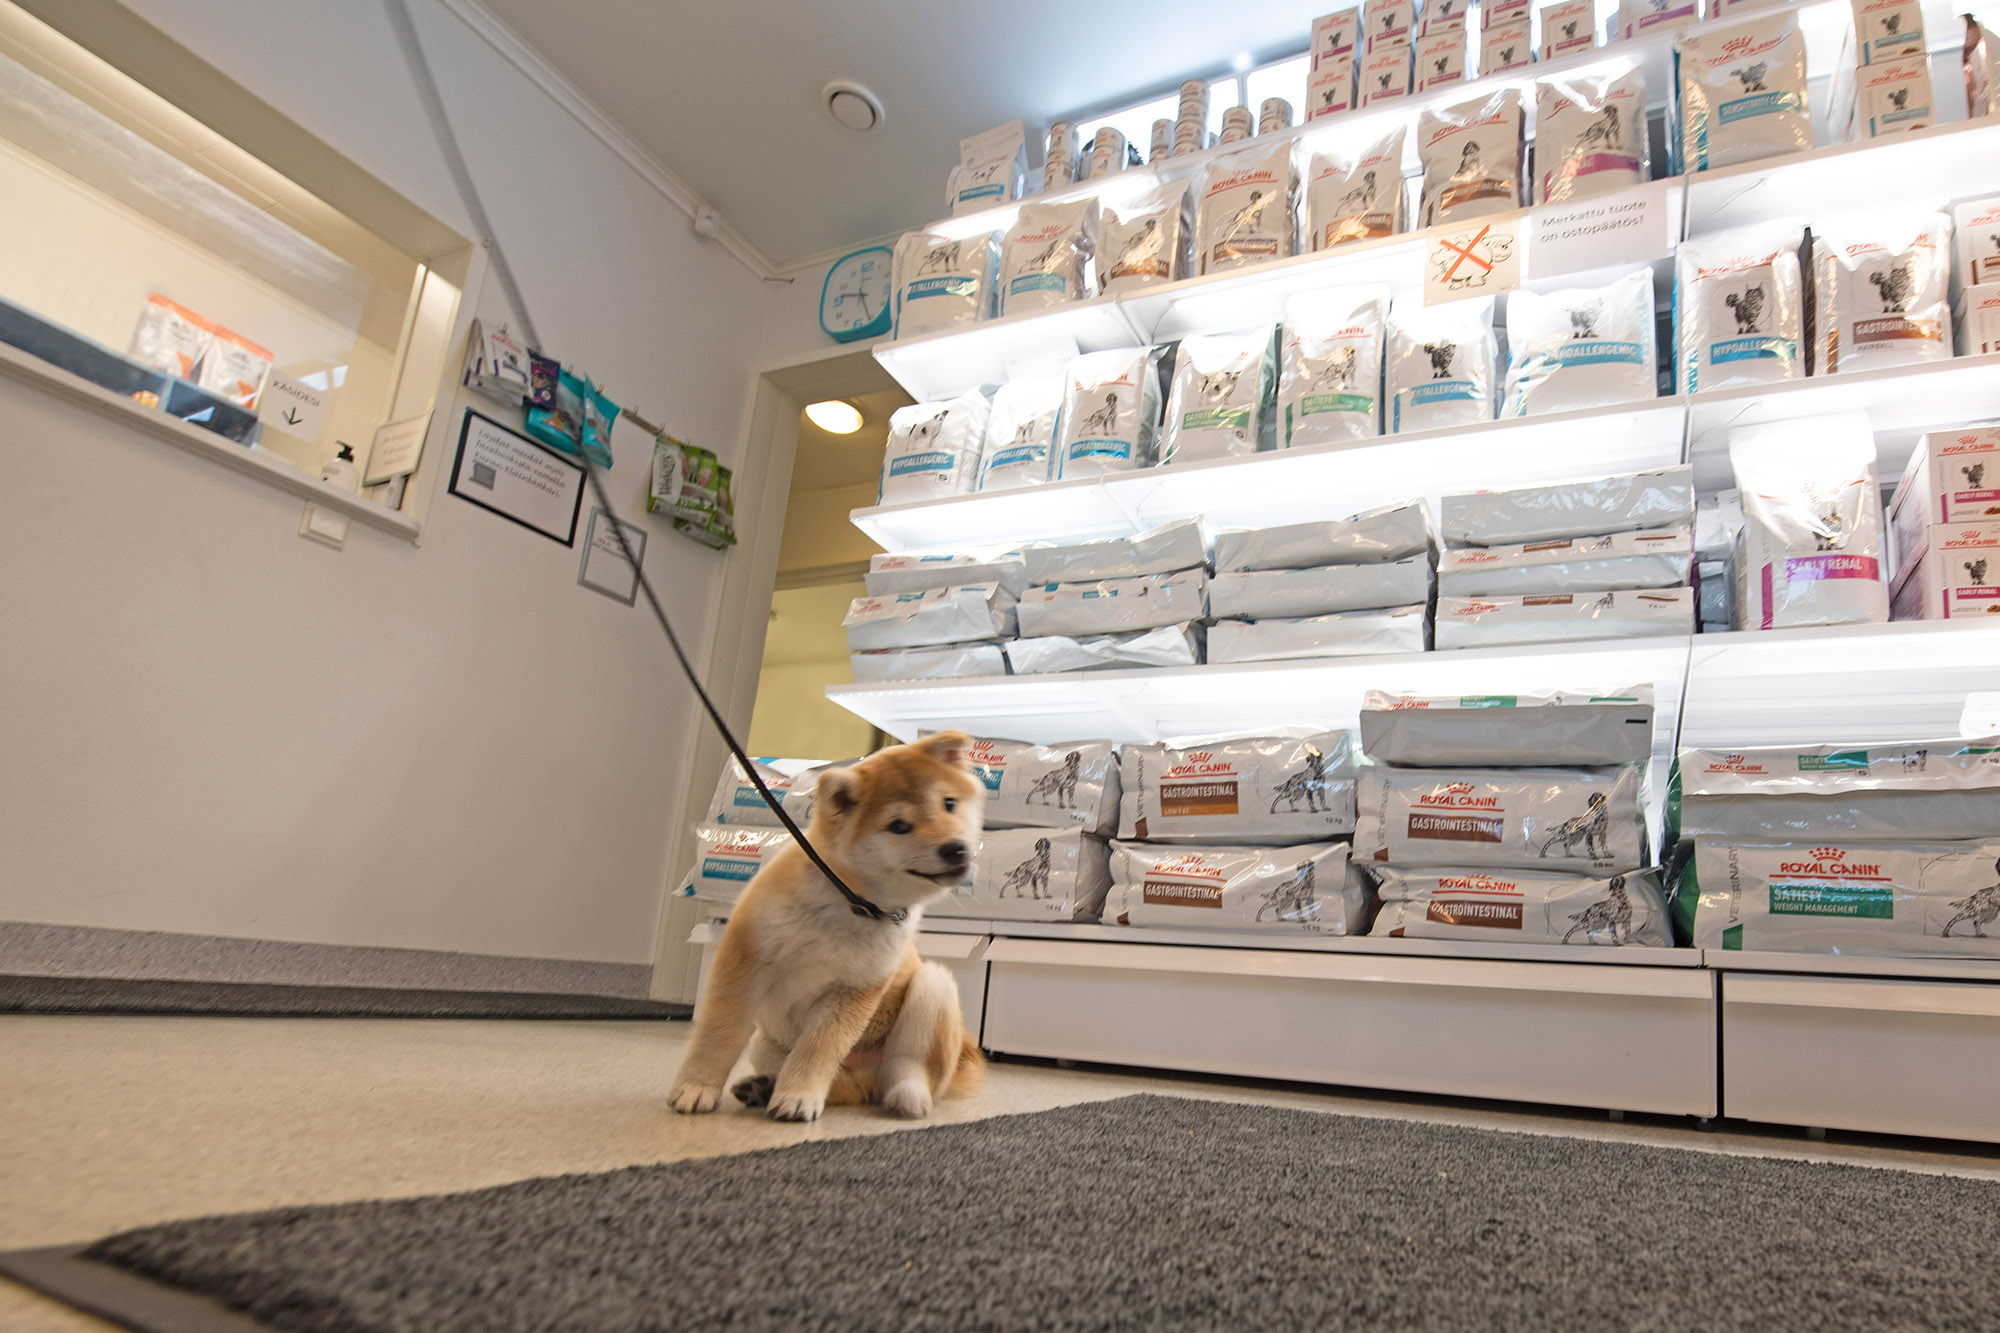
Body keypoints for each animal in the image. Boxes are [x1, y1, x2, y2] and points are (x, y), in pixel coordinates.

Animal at [668, 731, 986, 1123]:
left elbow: (818, 1049)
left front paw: (798, 1097)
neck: (850, 902)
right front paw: (696, 1087)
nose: (955, 849)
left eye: (949, 803)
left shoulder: (854, 989)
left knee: (904, 1066)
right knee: (847, 1088)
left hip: (933, 986)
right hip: (766, 1043)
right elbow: (719, 1033)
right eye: (898, 825)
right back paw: (763, 1088)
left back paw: (907, 1095)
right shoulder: (744, 961)